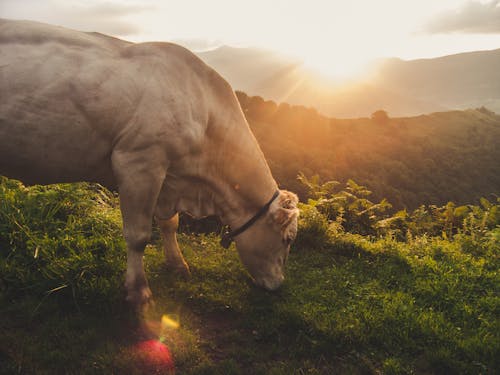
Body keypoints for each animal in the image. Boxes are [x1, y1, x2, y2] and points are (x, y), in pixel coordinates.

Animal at [0, 19, 296, 306]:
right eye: (287, 239)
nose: (279, 284)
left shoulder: (169, 176)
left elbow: (169, 223)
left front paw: (177, 263)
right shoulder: (139, 161)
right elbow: (138, 235)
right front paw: (138, 290)